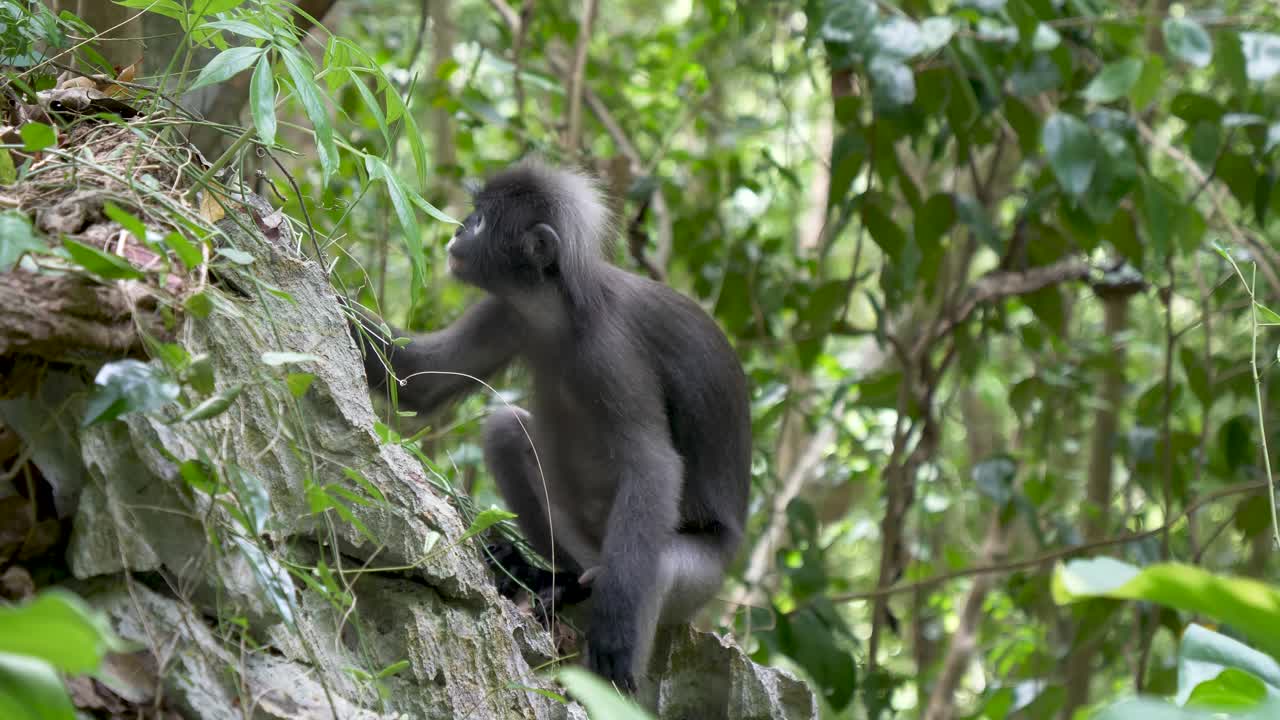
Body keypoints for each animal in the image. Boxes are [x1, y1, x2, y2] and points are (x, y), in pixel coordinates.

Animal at [347, 160, 751, 691]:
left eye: (480, 222)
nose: (457, 231)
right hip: (587, 547)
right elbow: (419, 381)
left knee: (659, 566)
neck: (558, 313)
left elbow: (654, 464)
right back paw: (553, 582)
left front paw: (614, 639)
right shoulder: (507, 312)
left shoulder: (611, 351)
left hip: (695, 572)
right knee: (505, 430)